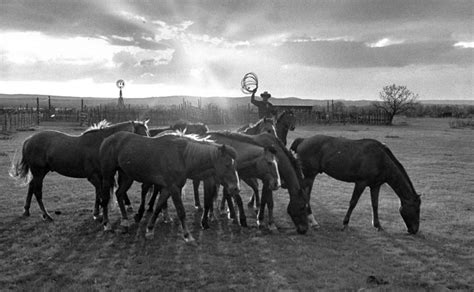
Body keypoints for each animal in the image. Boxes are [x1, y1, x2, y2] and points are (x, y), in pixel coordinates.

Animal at [9, 119, 150, 221]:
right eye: (142, 134)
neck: (100, 144)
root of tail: (29, 140)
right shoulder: (93, 176)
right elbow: (99, 192)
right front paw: (97, 213)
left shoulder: (100, 176)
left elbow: (98, 193)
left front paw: (97, 212)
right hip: (39, 172)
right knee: (37, 192)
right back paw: (46, 215)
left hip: (40, 172)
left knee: (31, 187)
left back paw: (26, 211)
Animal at [97, 131, 239, 241]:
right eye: (227, 164)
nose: (235, 188)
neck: (182, 156)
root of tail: (107, 139)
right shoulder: (174, 188)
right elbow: (181, 211)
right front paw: (187, 235)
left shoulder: (167, 188)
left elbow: (158, 206)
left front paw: (150, 230)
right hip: (107, 176)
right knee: (105, 198)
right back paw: (107, 224)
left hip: (127, 177)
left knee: (119, 194)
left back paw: (125, 222)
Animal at [290, 135, 420, 235]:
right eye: (416, 209)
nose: (415, 230)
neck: (381, 159)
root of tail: (303, 140)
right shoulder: (360, 183)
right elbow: (353, 203)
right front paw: (345, 224)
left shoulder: (375, 186)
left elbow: (375, 205)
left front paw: (377, 225)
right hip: (310, 175)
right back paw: (312, 220)